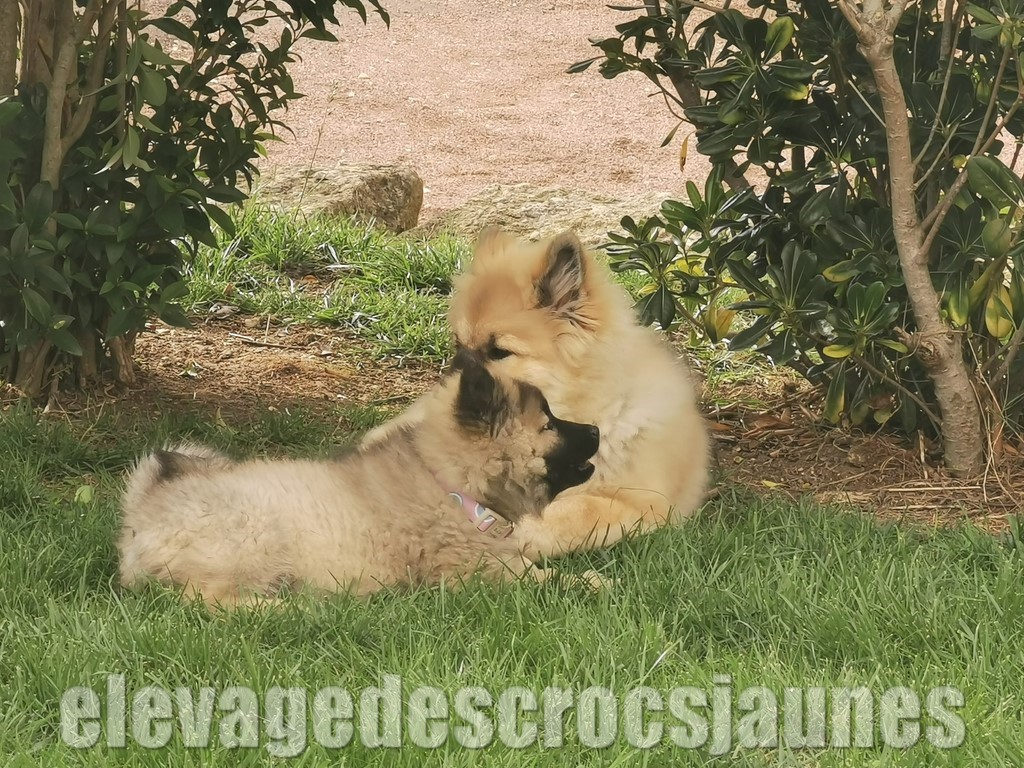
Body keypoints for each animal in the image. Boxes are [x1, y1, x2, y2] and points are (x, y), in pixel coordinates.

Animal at [117, 359, 600, 607]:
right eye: (549, 423)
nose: (596, 430)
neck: (450, 481)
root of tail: (145, 508)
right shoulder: (477, 572)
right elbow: (547, 579)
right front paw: (596, 586)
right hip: (252, 541)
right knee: (210, 599)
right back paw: (285, 609)